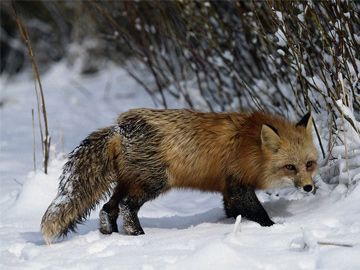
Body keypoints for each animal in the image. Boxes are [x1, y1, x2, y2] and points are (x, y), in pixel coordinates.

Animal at [40, 108, 318, 244]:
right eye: (290, 167)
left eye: (309, 164)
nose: (309, 188)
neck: (249, 147)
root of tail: (119, 127)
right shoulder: (238, 185)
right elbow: (258, 212)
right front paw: (273, 229)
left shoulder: (228, 188)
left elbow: (232, 212)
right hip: (153, 182)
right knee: (127, 206)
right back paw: (138, 235)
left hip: (127, 182)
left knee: (108, 208)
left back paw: (110, 235)